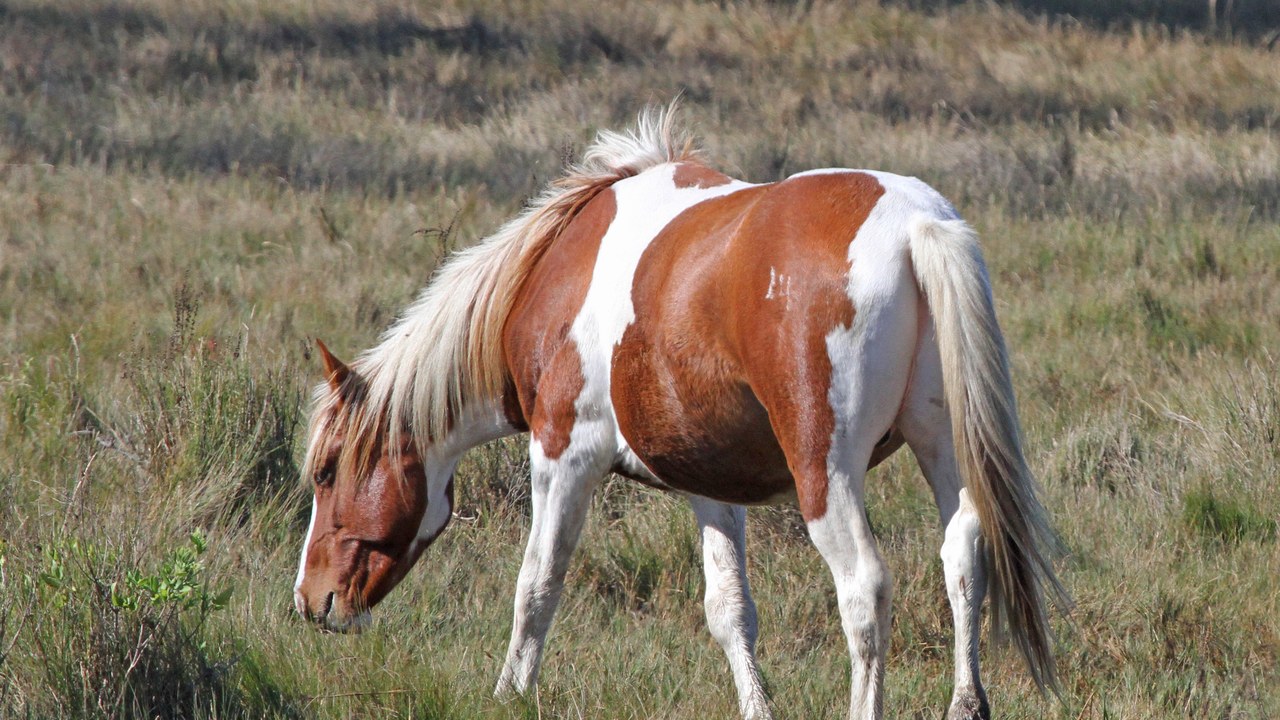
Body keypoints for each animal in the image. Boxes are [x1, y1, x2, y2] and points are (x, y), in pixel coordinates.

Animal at [291, 106, 1067, 720]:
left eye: (326, 473)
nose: (311, 600)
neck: (554, 271)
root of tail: (915, 226)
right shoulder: (709, 484)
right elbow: (729, 612)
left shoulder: (563, 454)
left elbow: (536, 585)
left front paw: (508, 694)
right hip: (943, 448)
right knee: (963, 557)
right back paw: (966, 704)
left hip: (826, 474)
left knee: (865, 592)